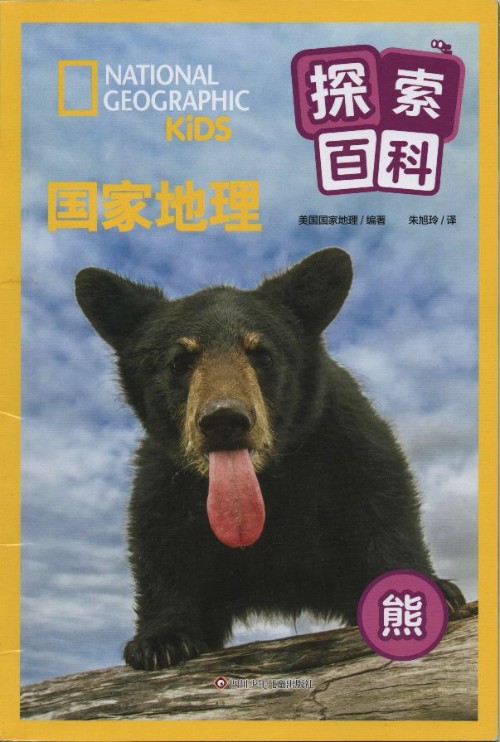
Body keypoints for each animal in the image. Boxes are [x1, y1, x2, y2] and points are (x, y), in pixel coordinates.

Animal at [74, 247, 465, 671]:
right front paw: (160, 641)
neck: (269, 481)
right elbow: (160, 543)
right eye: (180, 361)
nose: (224, 419)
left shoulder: (347, 441)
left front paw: (433, 593)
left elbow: (382, 505)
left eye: (262, 355)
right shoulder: (165, 479)